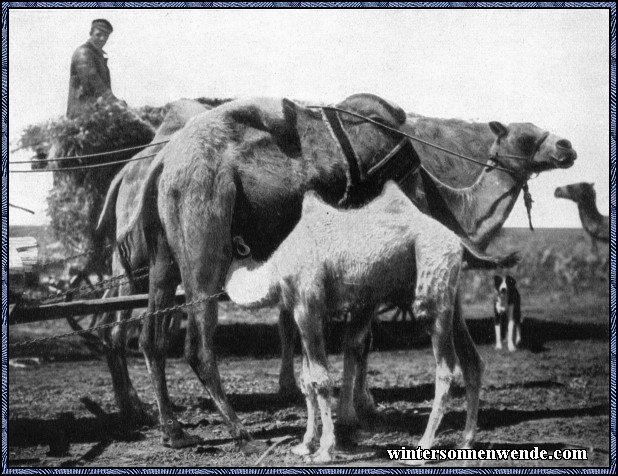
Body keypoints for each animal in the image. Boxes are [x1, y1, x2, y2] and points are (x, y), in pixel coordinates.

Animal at [224, 181, 512, 462]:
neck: (275, 269)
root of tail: (457, 240)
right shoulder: (304, 311)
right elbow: (307, 381)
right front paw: (304, 445)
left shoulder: (308, 307)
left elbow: (320, 381)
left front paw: (325, 450)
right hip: (452, 296)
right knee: (472, 361)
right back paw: (466, 441)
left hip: (432, 284)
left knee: (446, 368)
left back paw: (422, 448)